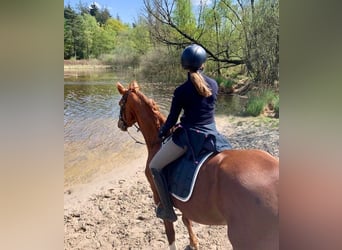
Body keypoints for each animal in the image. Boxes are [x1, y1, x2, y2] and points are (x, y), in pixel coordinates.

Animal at [116, 81, 280, 249]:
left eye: (121, 103)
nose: (119, 124)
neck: (158, 142)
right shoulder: (183, 203)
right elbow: (186, 220)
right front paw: (193, 242)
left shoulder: (158, 198)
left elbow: (170, 233)